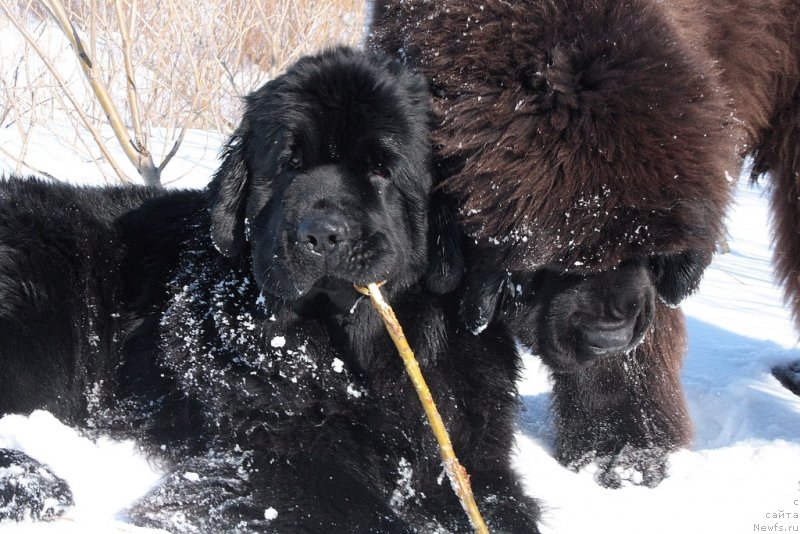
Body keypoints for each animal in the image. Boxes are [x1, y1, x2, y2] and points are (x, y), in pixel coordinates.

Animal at [0, 48, 540, 532]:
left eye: (382, 169)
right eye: (289, 164)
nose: (321, 234)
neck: (352, 356)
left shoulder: (471, 454)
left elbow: (503, 507)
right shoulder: (282, 449)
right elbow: (362, 512)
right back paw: (32, 484)